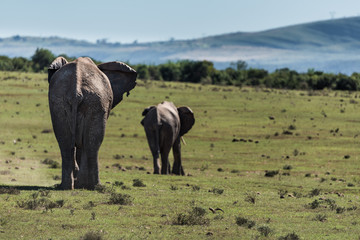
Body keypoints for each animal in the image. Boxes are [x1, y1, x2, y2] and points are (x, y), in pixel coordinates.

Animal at [47, 56, 136, 189]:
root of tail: (76, 91)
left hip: (58, 102)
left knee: (65, 144)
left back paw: (66, 186)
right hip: (95, 103)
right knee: (92, 145)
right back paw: (93, 186)